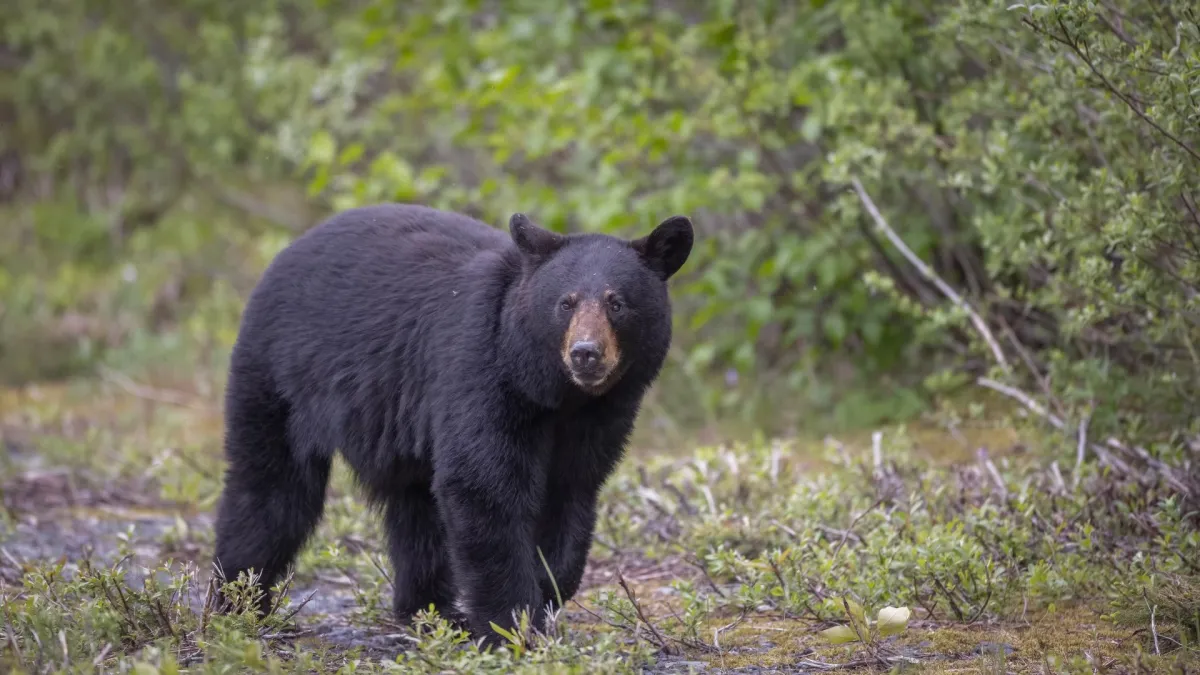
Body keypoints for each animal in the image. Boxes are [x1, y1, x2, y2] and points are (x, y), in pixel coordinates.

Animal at [211, 204, 691, 638]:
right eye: (565, 303)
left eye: (617, 303)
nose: (585, 353)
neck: (556, 394)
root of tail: (289, 250)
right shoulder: (483, 374)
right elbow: (483, 487)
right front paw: (514, 624)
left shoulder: (601, 416)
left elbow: (571, 491)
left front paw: (546, 589)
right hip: (280, 375)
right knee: (271, 491)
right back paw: (237, 603)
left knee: (416, 512)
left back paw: (430, 612)